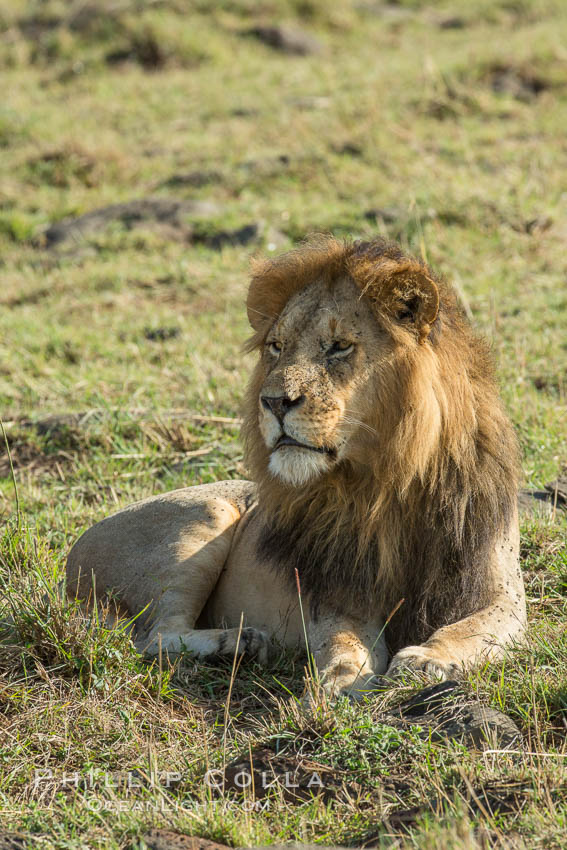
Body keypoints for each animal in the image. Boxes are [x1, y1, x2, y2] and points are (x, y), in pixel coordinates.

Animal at [66, 236, 526, 699]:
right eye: (276, 347)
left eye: (339, 346)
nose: (272, 402)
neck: (387, 480)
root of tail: (68, 564)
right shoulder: (336, 596)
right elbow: (342, 643)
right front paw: (336, 682)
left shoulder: (502, 593)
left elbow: (470, 629)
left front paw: (427, 660)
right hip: (207, 513)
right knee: (154, 637)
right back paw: (240, 642)